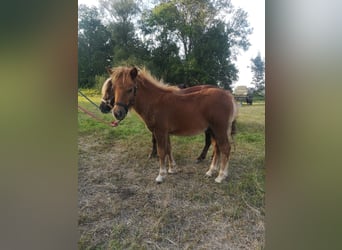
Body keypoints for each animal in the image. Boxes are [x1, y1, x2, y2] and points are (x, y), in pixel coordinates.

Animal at [110, 66, 238, 184]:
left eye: (130, 89)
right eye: (114, 88)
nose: (117, 113)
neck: (154, 102)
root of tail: (228, 95)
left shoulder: (160, 132)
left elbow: (161, 151)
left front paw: (161, 175)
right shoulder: (166, 132)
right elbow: (168, 148)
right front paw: (172, 169)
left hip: (219, 129)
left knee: (225, 148)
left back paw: (221, 176)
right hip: (212, 130)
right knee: (217, 148)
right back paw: (211, 171)